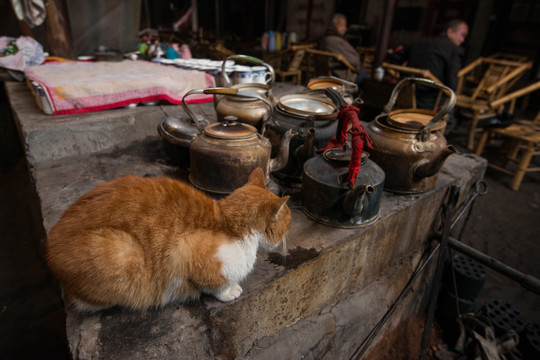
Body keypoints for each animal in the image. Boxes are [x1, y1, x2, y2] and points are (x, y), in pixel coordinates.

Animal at [45, 167, 292, 310]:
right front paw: (230, 291)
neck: (229, 223)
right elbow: (215, 285)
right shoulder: (185, 251)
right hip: (123, 249)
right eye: (288, 222)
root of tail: (50, 241)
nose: (289, 232)